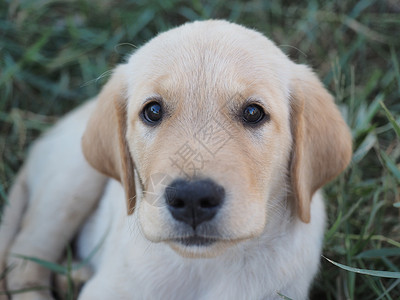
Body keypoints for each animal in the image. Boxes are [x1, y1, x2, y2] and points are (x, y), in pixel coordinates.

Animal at [0, 19, 352, 298]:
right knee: (23, 264)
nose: (193, 198)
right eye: (153, 111)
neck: (206, 267)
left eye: (254, 113)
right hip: (71, 180)